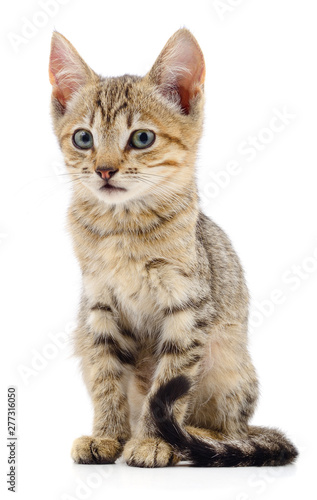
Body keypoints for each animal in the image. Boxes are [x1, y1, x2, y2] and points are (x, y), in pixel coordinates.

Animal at [48, 28, 296, 464]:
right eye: (83, 138)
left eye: (142, 137)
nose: (104, 170)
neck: (122, 229)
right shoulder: (98, 310)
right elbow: (106, 378)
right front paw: (107, 435)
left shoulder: (188, 310)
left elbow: (169, 382)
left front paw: (153, 441)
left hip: (229, 362)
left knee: (231, 430)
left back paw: (197, 437)